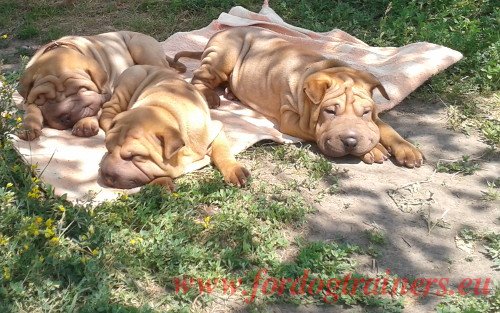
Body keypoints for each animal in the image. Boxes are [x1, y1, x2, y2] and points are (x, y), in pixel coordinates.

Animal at [17, 30, 187, 140]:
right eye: (44, 97)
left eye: (82, 90)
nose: (68, 116)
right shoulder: (28, 100)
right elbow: (32, 110)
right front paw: (28, 127)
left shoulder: (105, 93)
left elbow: (95, 107)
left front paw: (85, 124)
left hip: (140, 46)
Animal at [97, 64, 250, 189]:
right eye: (108, 149)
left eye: (136, 156)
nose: (106, 174)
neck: (164, 111)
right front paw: (162, 183)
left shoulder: (214, 129)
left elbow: (222, 151)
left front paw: (234, 170)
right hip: (129, 81)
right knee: (108, 110)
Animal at [178, 26, 424, 168]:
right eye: (329, 111)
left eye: (365, 112)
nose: (351, 141)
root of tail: (219, 33)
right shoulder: (291, 119)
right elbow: (315, 130)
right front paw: (374, 149)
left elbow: (385, 128)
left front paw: (407, 149)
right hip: (225, 54)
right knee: (198, 78)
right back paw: (210, 96)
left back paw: (231, 91)